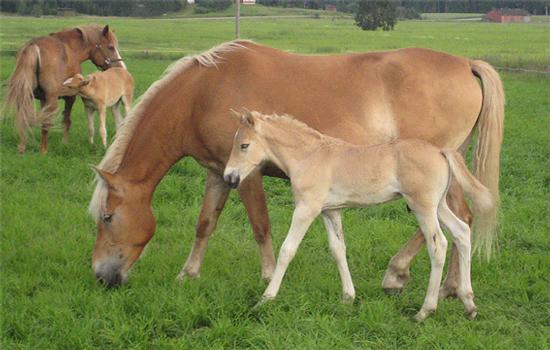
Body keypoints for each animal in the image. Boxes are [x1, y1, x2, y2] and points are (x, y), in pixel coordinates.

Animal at [5, 25, 126, 154]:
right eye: (111, 47)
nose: (121, 68)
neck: (71, 49)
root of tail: (34, 46)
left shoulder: (43, 99)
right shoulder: (70, 97)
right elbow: (67, 120)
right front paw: (65, 142)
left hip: (25, 96)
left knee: (24, 118)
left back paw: (22, 147)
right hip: (51, 99)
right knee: (45, 123)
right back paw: (43, 151)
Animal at [87, 40, 504, 296]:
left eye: (107, 217)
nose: (101, 276)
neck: (202, 93)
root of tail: (466, 64)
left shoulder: (247, 176)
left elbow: (261, 226)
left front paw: (268, 276)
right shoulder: (219, 172)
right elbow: (205, 223)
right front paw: (188, 274)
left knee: (451, 223)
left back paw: (402, 274)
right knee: (461, 222)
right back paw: (450, 287)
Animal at [224, 110, 496, 322]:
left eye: (244, 145)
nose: (229, 177)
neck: (308, 155)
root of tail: (441, 151)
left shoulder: (306, 208)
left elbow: (287, 250)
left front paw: (265, 299)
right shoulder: (330, 211)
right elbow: (338, 250)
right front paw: (348, 297)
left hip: (423, 207)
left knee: (438, 245)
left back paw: (425, 311)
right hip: (439, 206)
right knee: (462, 233)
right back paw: (469, 305)